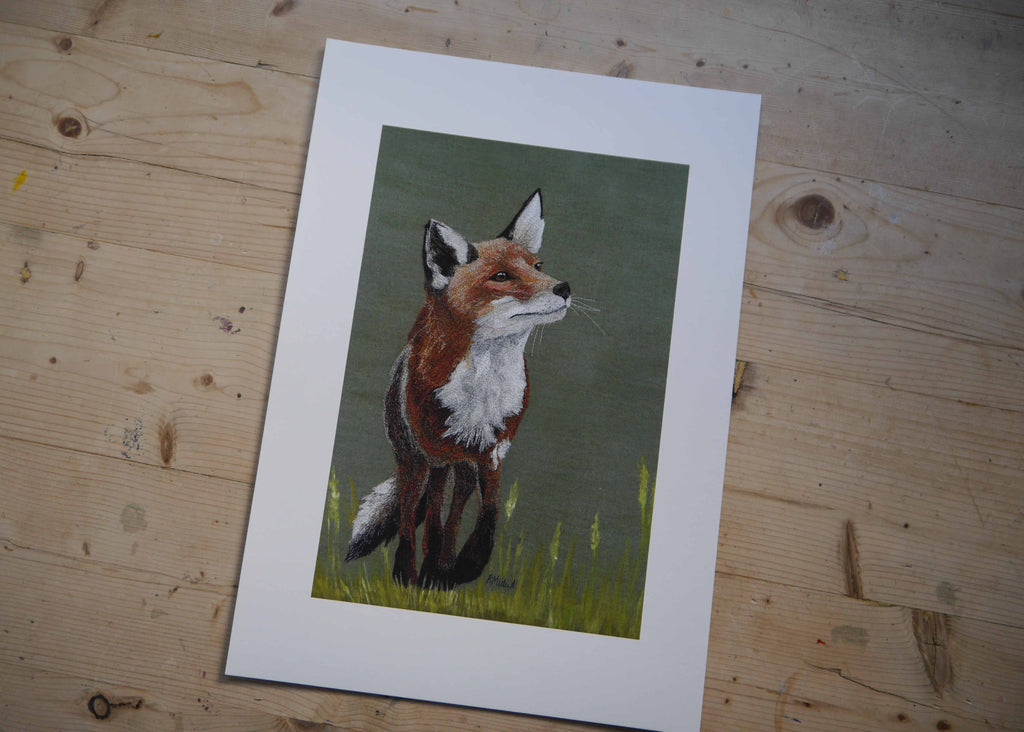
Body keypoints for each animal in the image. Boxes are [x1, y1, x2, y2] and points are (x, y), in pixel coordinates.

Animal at [345, 189, 571, 589]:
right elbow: (428, 519)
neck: (482, 391)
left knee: (452, 511)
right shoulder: (437, 457)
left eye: (538, 266)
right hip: (415, 463)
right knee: (411, 514)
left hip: (462, 465)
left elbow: (487, 510)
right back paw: (410, 573)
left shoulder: (493, 453)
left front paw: (467, 563)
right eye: (501, 276)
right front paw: (425, 574)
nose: (564, 288)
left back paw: (443, 568)